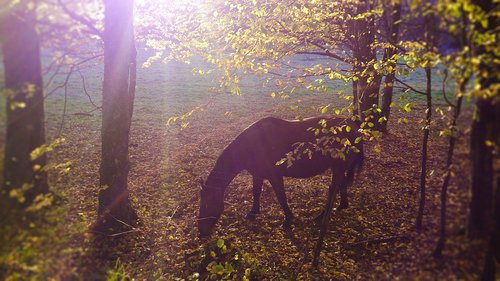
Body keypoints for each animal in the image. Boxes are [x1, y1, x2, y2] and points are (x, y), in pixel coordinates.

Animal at [197, 115, 366, 236]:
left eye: (207, 205)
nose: (201, 232)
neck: (252, 146)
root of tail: (354, 126)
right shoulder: (257, 175)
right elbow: (256, 193)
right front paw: (253, 212)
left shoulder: (275, 177)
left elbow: (281, 197)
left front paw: (288, 220)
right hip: (339, 168)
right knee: (341, 186)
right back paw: (341, 206)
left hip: (337, 168)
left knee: (333, 190)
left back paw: (321, 216)